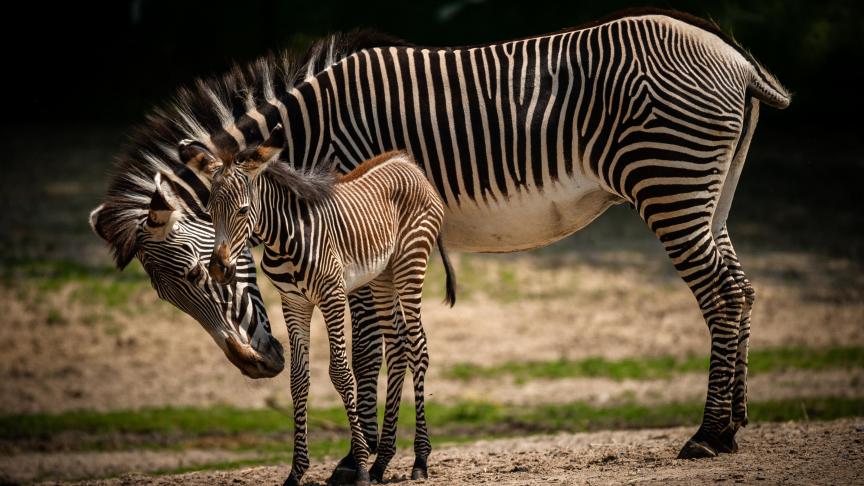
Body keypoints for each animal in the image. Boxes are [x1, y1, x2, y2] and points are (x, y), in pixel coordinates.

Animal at [199, 127, 455, 486]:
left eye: (242, 211)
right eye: (209, 212)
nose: (219, 270)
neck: (283, 239)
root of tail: (410, 164)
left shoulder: (332, 296)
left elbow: (341, 374)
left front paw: (358, 466)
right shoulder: (293, 303)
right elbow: (298, 379)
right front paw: (296, 471)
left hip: (410, 264)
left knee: (418, 347)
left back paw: (419, 459)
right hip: (382, 276)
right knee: (398, 347)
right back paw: (382, 462)